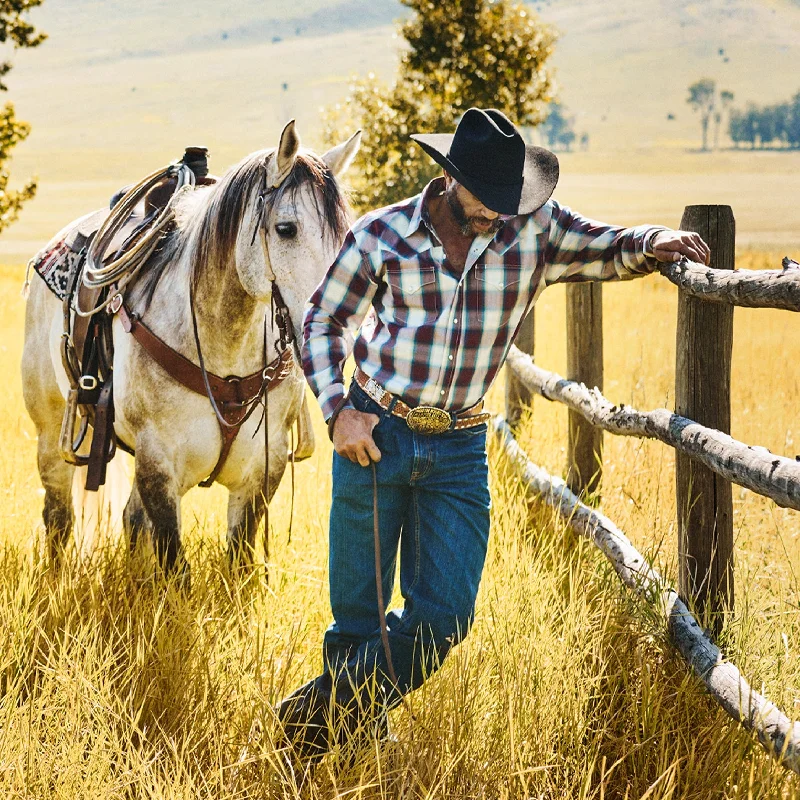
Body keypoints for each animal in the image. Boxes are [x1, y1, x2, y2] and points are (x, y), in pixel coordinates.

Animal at [21, 122, 360, 576]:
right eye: (286, 228)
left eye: (346, 234)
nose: (341, 321)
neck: (223, 346)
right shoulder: (158, 465)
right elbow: (172, 561)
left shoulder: (262, 471)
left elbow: (238, 559)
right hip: (51, 431)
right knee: (58, 517)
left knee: (130, 519)